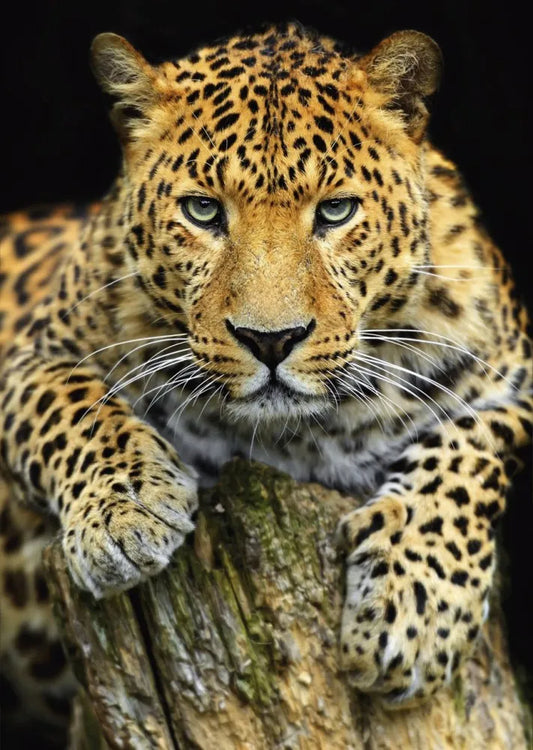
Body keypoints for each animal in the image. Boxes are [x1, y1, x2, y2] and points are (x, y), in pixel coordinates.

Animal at [0, 21, 531, 738]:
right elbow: (77, 409)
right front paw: (126, 512)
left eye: (336, 212)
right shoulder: (31, 357)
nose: (271, 340)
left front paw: (413, 612)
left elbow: (470, 453)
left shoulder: (511, 379)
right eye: (202, 211)